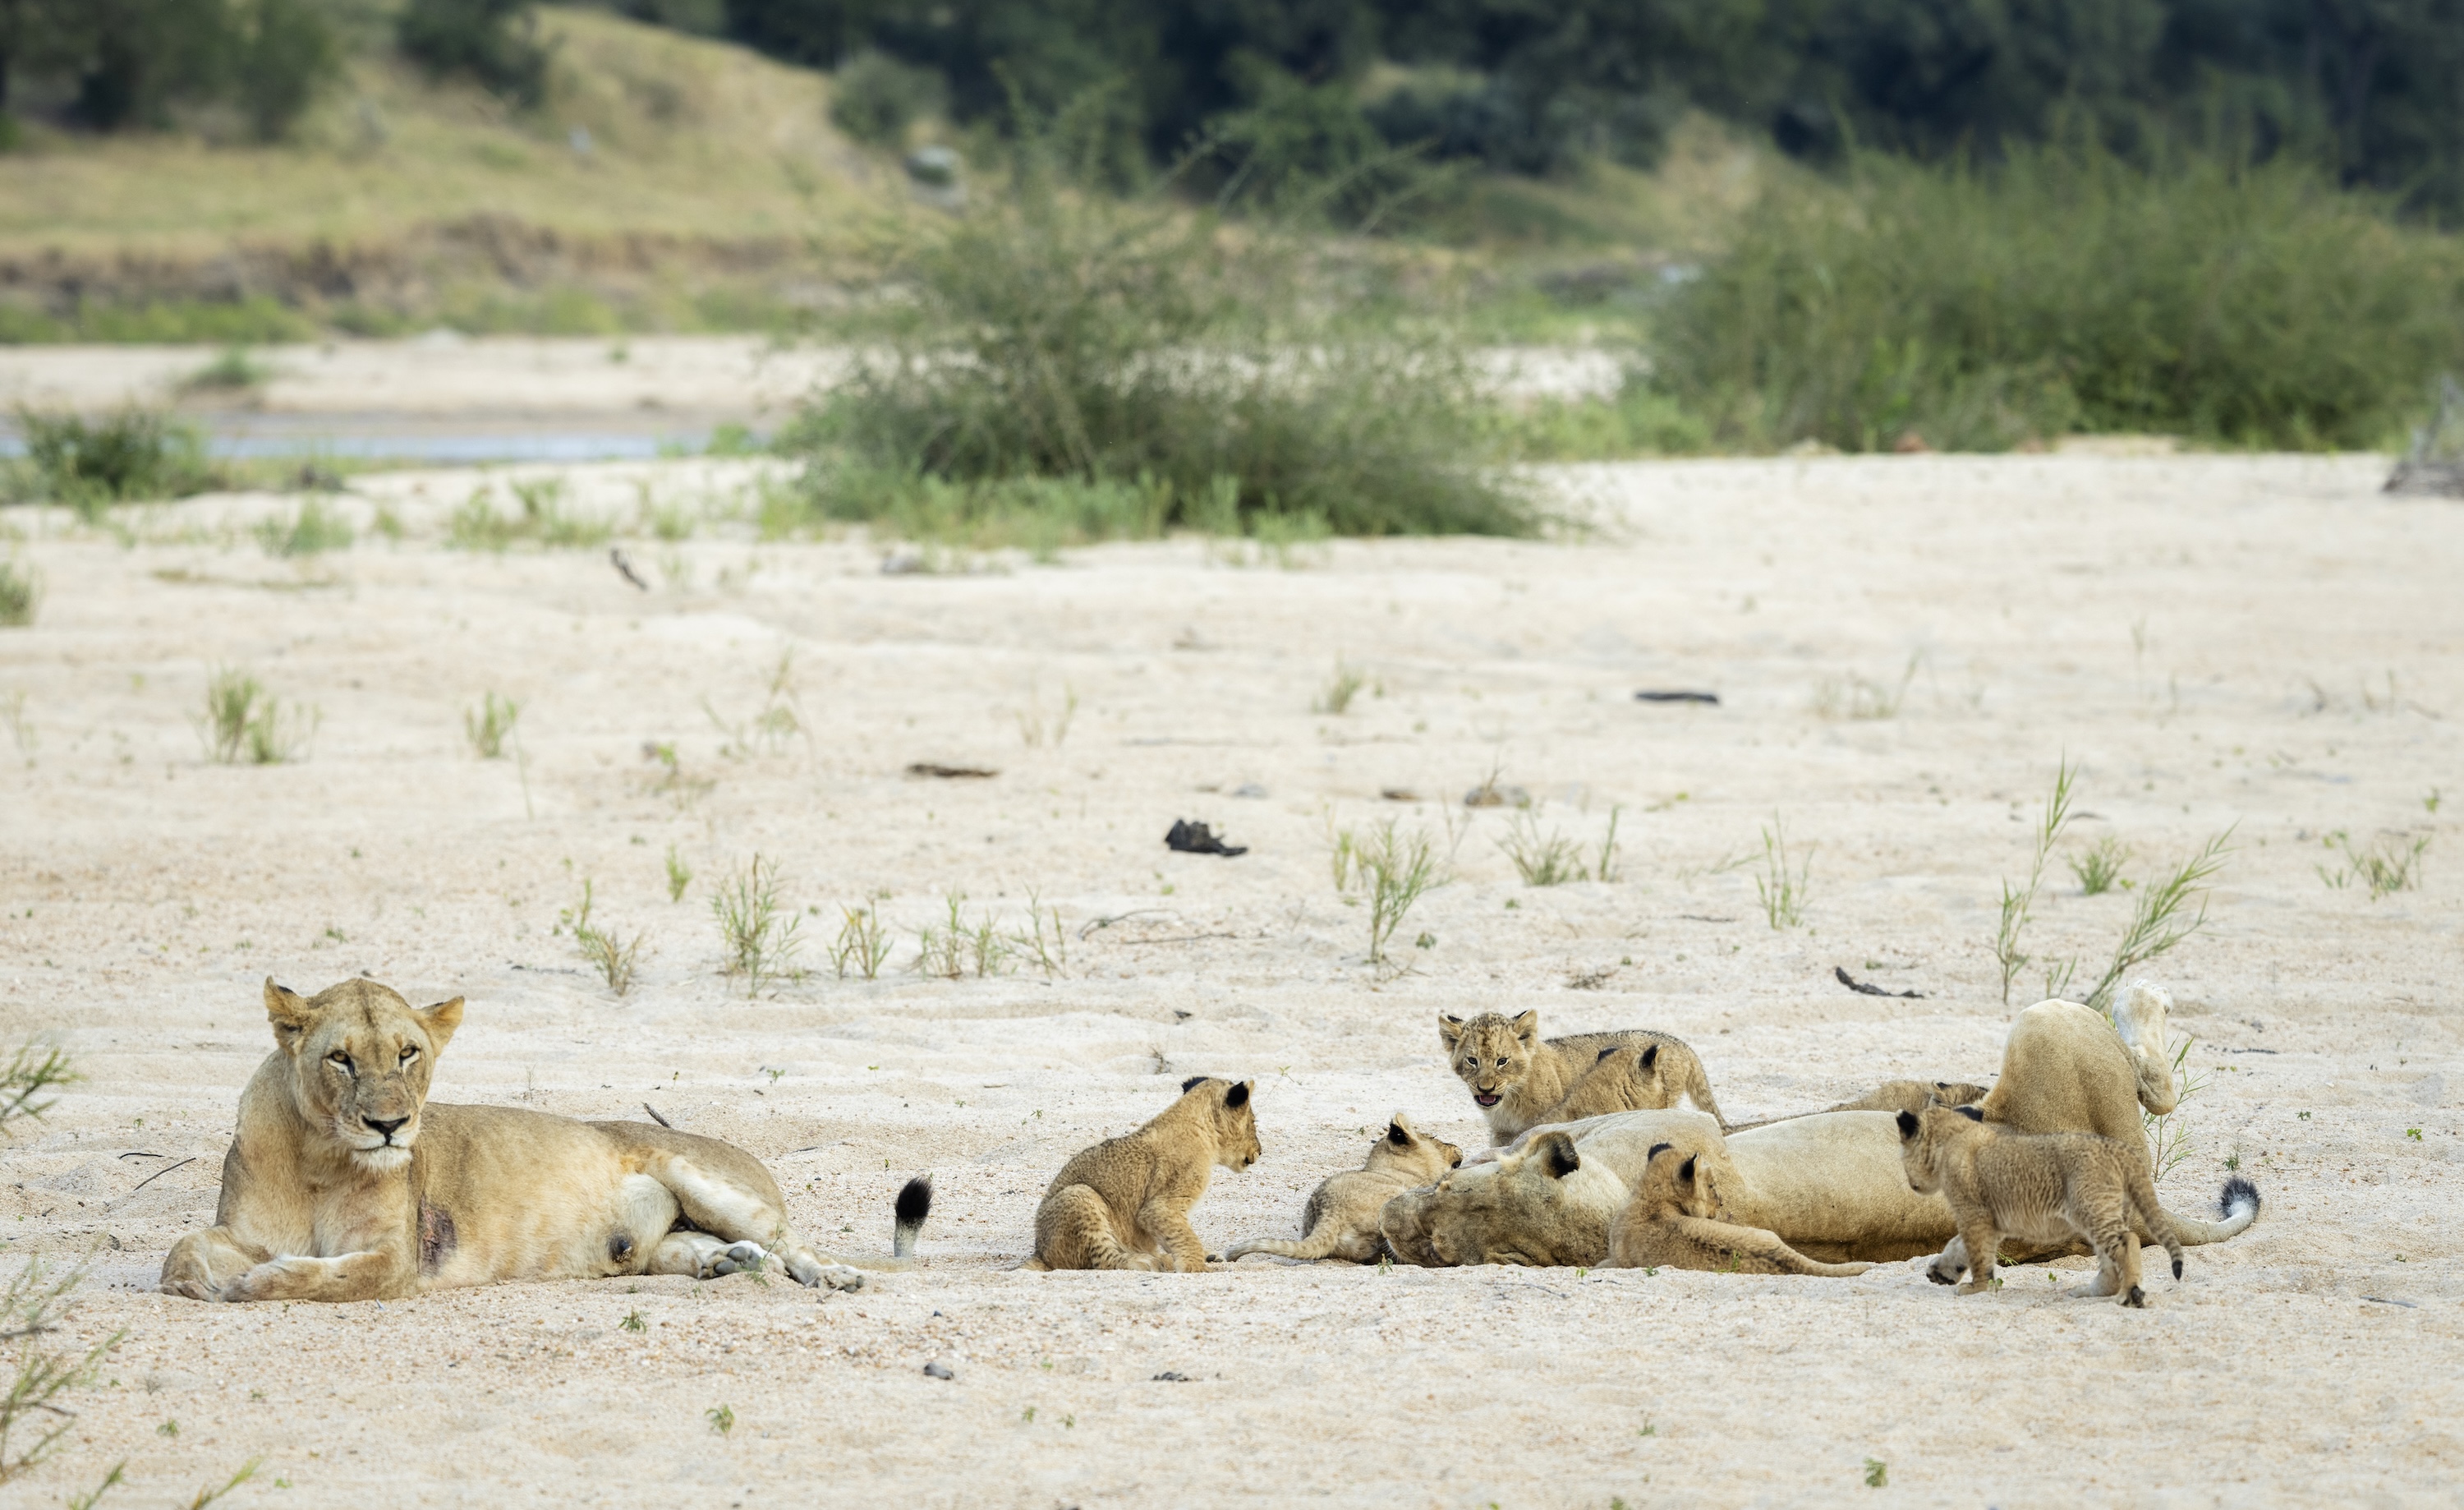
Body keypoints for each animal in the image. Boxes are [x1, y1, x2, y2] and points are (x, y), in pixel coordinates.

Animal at [159, 978, 927, 1303]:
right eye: (341, 1059)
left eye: (408, 1054)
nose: (388, 1125)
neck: (322, 1157)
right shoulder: (242, 1230)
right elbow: (183, 1247)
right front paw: (195, 1283)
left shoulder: (398, 1258)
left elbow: (333, 1274)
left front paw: (258, 1283)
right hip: (664, 1241)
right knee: (707, 1251)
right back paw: (724, 1264)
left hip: (703, 1176)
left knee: (792, 1244)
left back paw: (833, 1274)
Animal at [1024, 1076, 1259, 1272]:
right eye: (1254, 1122)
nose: (1260, 1150)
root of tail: (1040, 1254)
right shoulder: (1160, 1206)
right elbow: (1185, 1237)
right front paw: (1196, 1269)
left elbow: (1173, 1237)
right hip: (1079, 1195)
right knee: (1103, 1259)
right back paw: (1144, 1261)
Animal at [1438, 1010, 1723, 1144]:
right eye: (1472, 1061)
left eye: (1502, 1061)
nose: (1485, 1089)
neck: (1508, 1102)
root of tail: (1682, 1044)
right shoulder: (1501, 1134)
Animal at [1899, 1106, 2196, 1307]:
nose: (1911, 1184)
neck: (1953, 1136)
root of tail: (2119, 1148)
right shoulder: (1990, 1220)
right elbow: (1959, 1246)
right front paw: (1942, 1272)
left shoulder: (1974, 1214)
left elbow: (1977, 1253)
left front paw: (1976, 1288)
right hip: (2101, 1212)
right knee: (2109, 1261)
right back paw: (2090, 1292)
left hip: (2091, 1208)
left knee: (2127, 1242)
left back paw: (2130, 1294)